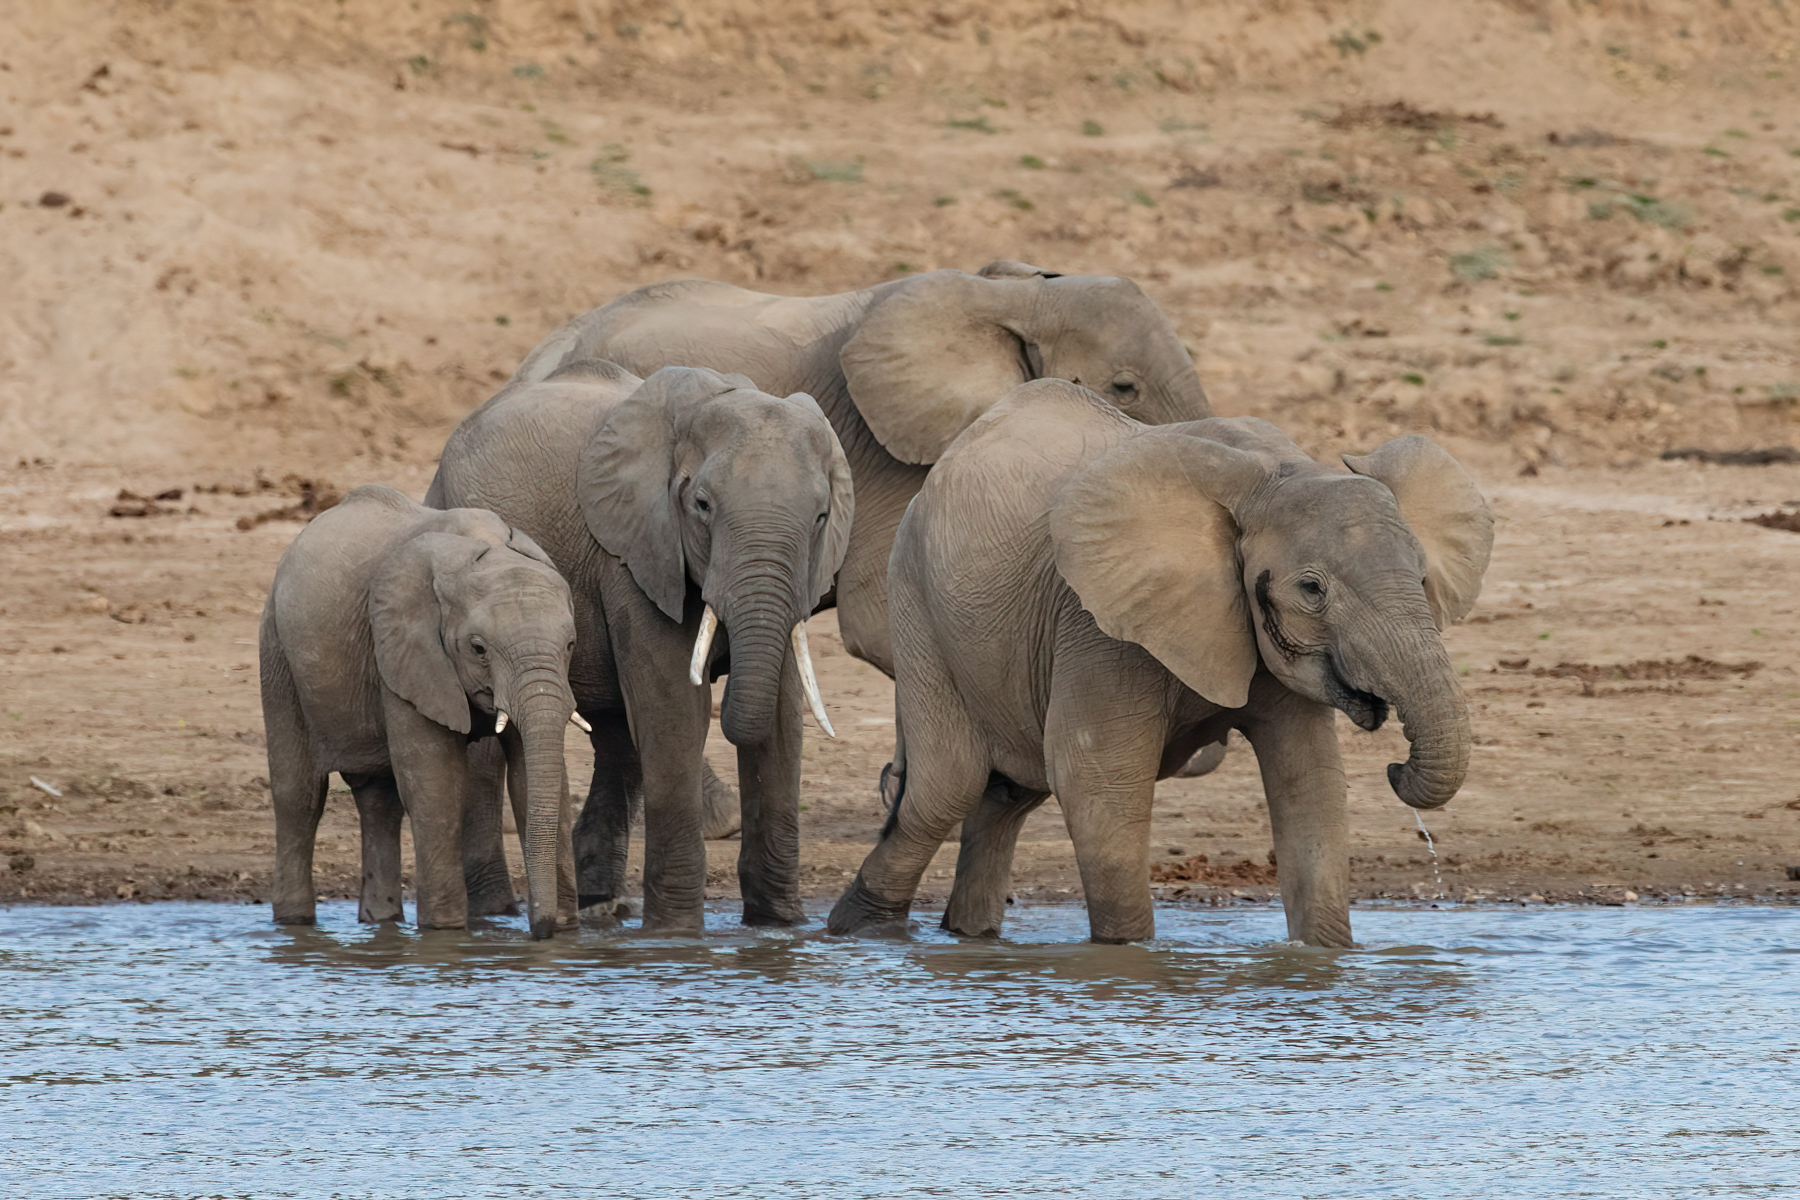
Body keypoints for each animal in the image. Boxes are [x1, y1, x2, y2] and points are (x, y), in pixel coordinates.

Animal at [260, 484, 582, 939]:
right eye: (478, 648)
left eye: (571, 645)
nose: (540, 927)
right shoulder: (403, 650)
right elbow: (436, 786)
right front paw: (444, 931)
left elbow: (532, 779)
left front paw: (569, 932)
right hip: (276, 651)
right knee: (299, 797)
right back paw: (295, 923)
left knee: (379, 799)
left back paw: (381, 921)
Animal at [426, 362, 853, 931]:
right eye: (702, 505)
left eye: (822, 517)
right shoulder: (636, 552)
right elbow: (673, 708)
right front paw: (676, 931)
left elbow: (782, 718)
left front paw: (779, 926)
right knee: (491, 745)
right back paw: (497, 912)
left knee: (617, 739)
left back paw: (600, 905)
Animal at [828, 381, 1494, 947]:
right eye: (1311, 589)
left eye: (1423, 577)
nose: (1396, 766)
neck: (1275, 473)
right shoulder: (1096, 621)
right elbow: (1097, 778)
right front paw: (1128, 957)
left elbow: (1310, 784)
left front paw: (1325, 956)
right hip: (915, 598)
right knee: (947, 787)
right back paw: (861, 933)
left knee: (1006, 794)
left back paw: (968, 938)